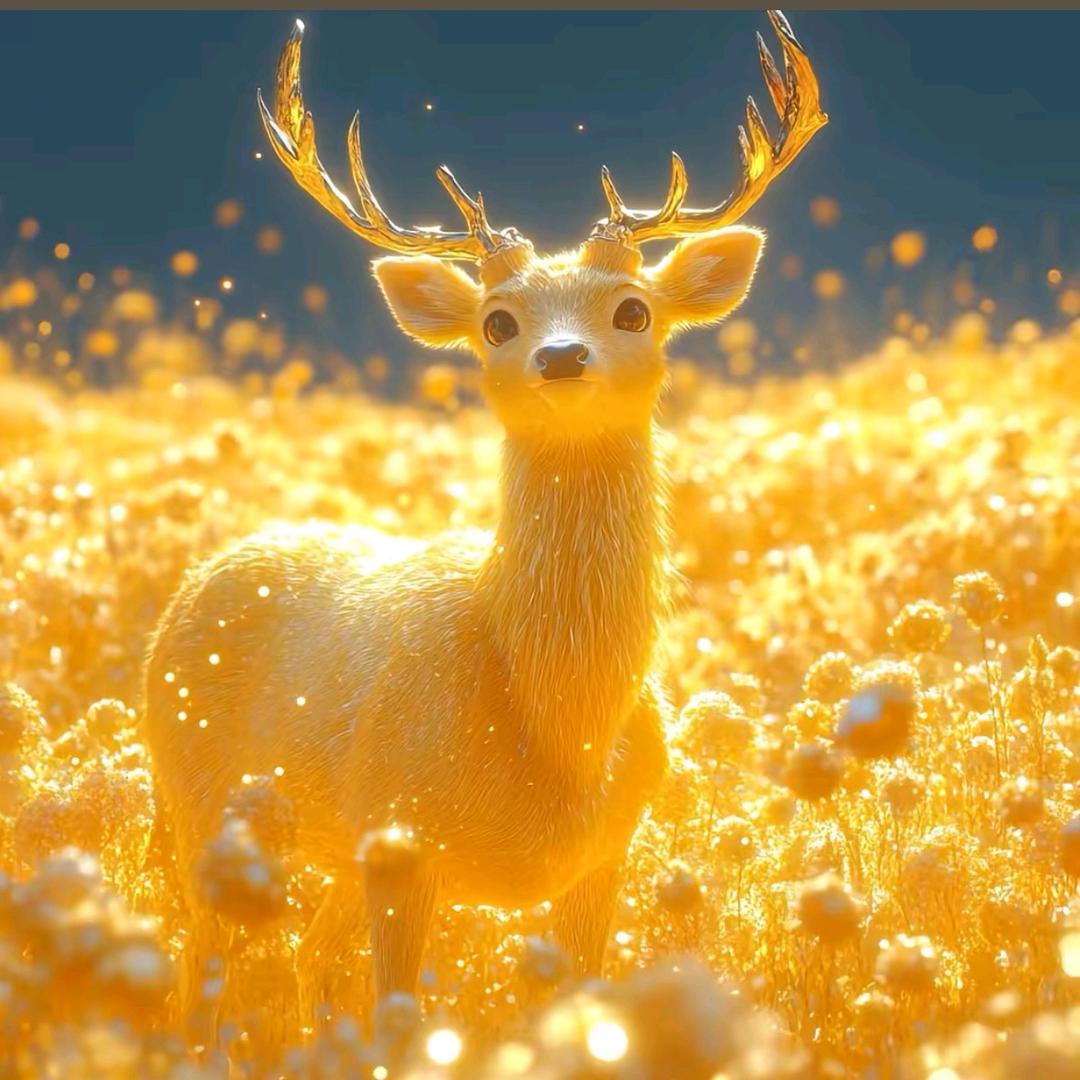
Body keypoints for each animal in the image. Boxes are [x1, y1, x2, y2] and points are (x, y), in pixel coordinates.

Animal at [141, 9, 827, 1038]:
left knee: (306, 957)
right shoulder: (402, 836)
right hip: (200, 800)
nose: (561, 357)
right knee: (202, 969)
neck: (558, 725)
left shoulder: (605, 854)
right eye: (497, 322)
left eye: (635, 310)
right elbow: (401, 1016)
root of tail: (200, 577)